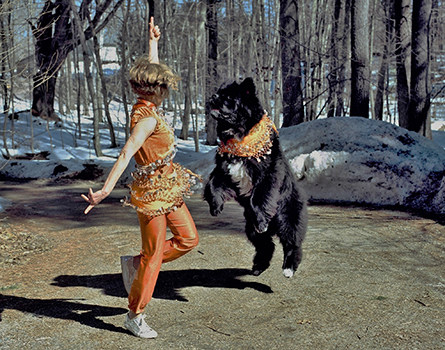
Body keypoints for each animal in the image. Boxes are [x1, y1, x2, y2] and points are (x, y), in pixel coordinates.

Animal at [203, 77, 306, 278]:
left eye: (229, 98)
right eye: (219, 93)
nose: (213, 96)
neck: (240, 137)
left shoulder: (267, 175)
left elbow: (258, 198)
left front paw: (261, 219)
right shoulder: (224, 171)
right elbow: (213, 184)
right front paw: (215, 207)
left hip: (287, 216)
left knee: (291, 243)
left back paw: (288, 268)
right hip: (250, 228)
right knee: (266, 245)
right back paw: (258, 266)